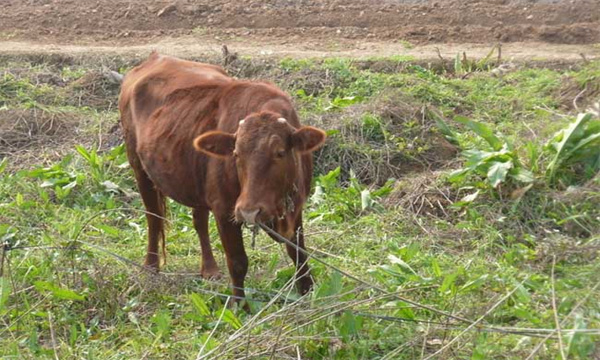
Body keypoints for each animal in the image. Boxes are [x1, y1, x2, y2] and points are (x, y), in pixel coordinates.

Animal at [119, 52, 326, 302]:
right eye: (236, 154)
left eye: (280, 152)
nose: (249, 212)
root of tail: (154, 59)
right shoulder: (224, 209)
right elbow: (238, 262)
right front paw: (240, 305)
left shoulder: (295, 209)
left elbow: (298, 252)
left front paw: (307, 291)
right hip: (139, 167)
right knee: (153, 217)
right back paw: (151, 267)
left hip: (194, 181)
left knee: (198, 220)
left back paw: (209, 269)